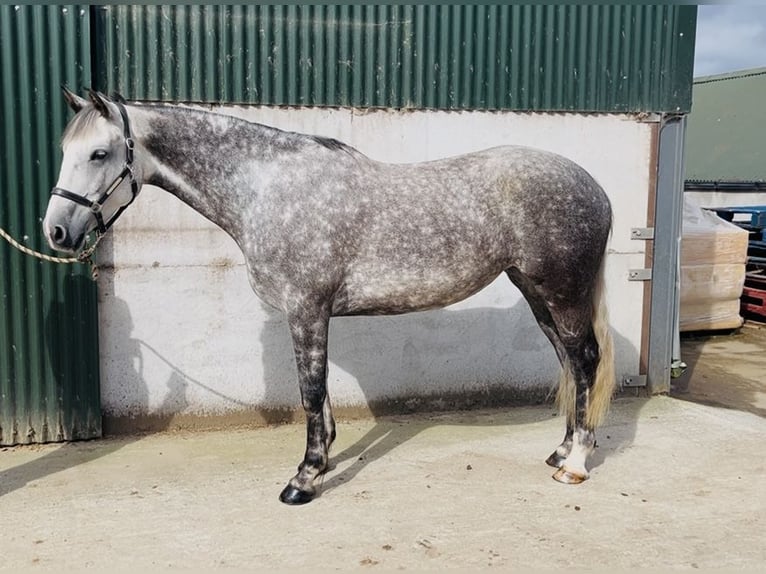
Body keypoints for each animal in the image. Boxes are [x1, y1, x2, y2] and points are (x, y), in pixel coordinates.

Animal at [43, 88, 615, 505]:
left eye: (99, 153)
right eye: (65, 151)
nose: (56, 232)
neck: (265, 189)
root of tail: (594, 186)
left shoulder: (306, 309)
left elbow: (310, 393)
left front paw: (304, 479)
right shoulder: (312, 314)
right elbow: (319, 397)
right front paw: (323, 461)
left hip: (562, 294)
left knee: (585, 360)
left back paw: (576, 464)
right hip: (537, 294)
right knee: (568, 362)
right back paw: (560, 451)